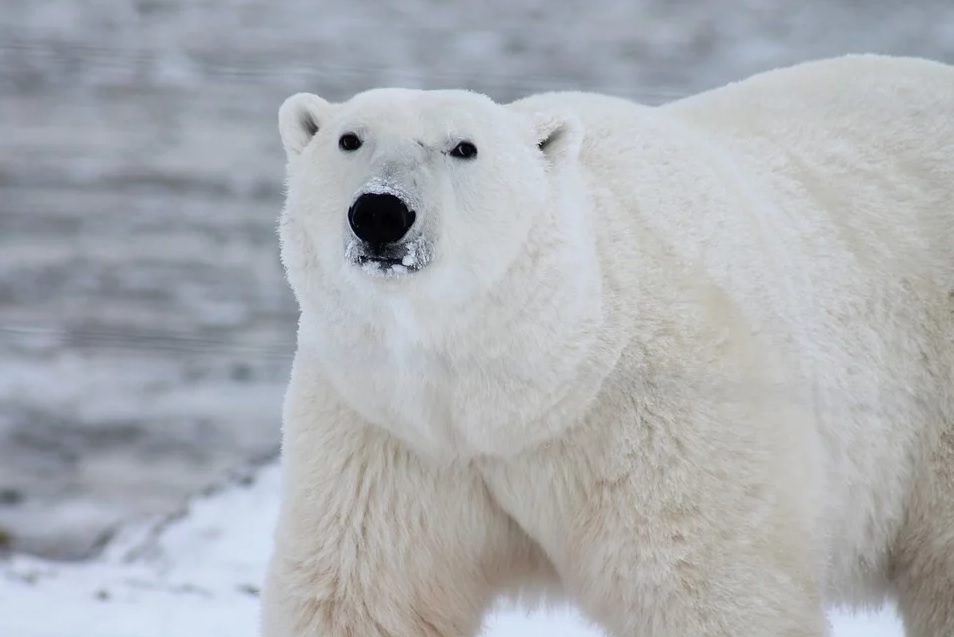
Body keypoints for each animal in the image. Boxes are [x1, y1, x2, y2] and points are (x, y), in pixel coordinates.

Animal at [260, 56, 952, 636]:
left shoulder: (662, 419)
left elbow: (708, 588)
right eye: (349, 139)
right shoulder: (388, 432)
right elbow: (367, 595)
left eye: (464, 147)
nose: (380, 212)